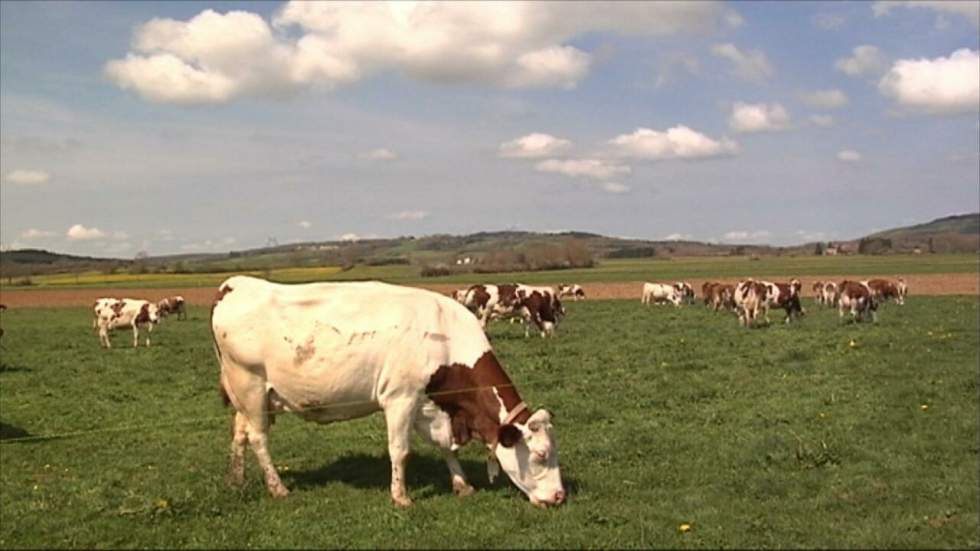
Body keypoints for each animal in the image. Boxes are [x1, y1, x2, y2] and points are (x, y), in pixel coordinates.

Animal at [214, 276, 568, 508]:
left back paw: (235, 479)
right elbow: (400, 451)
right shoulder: (401, 398)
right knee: (258, 438)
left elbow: (446, 447)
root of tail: (235, 284)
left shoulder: (430, 406)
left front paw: (462, 485)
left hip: (248, 396)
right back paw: (278, 488)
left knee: (239, 432)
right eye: (540, 454)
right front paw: (401, 497)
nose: (559, 496)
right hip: (250, 387)